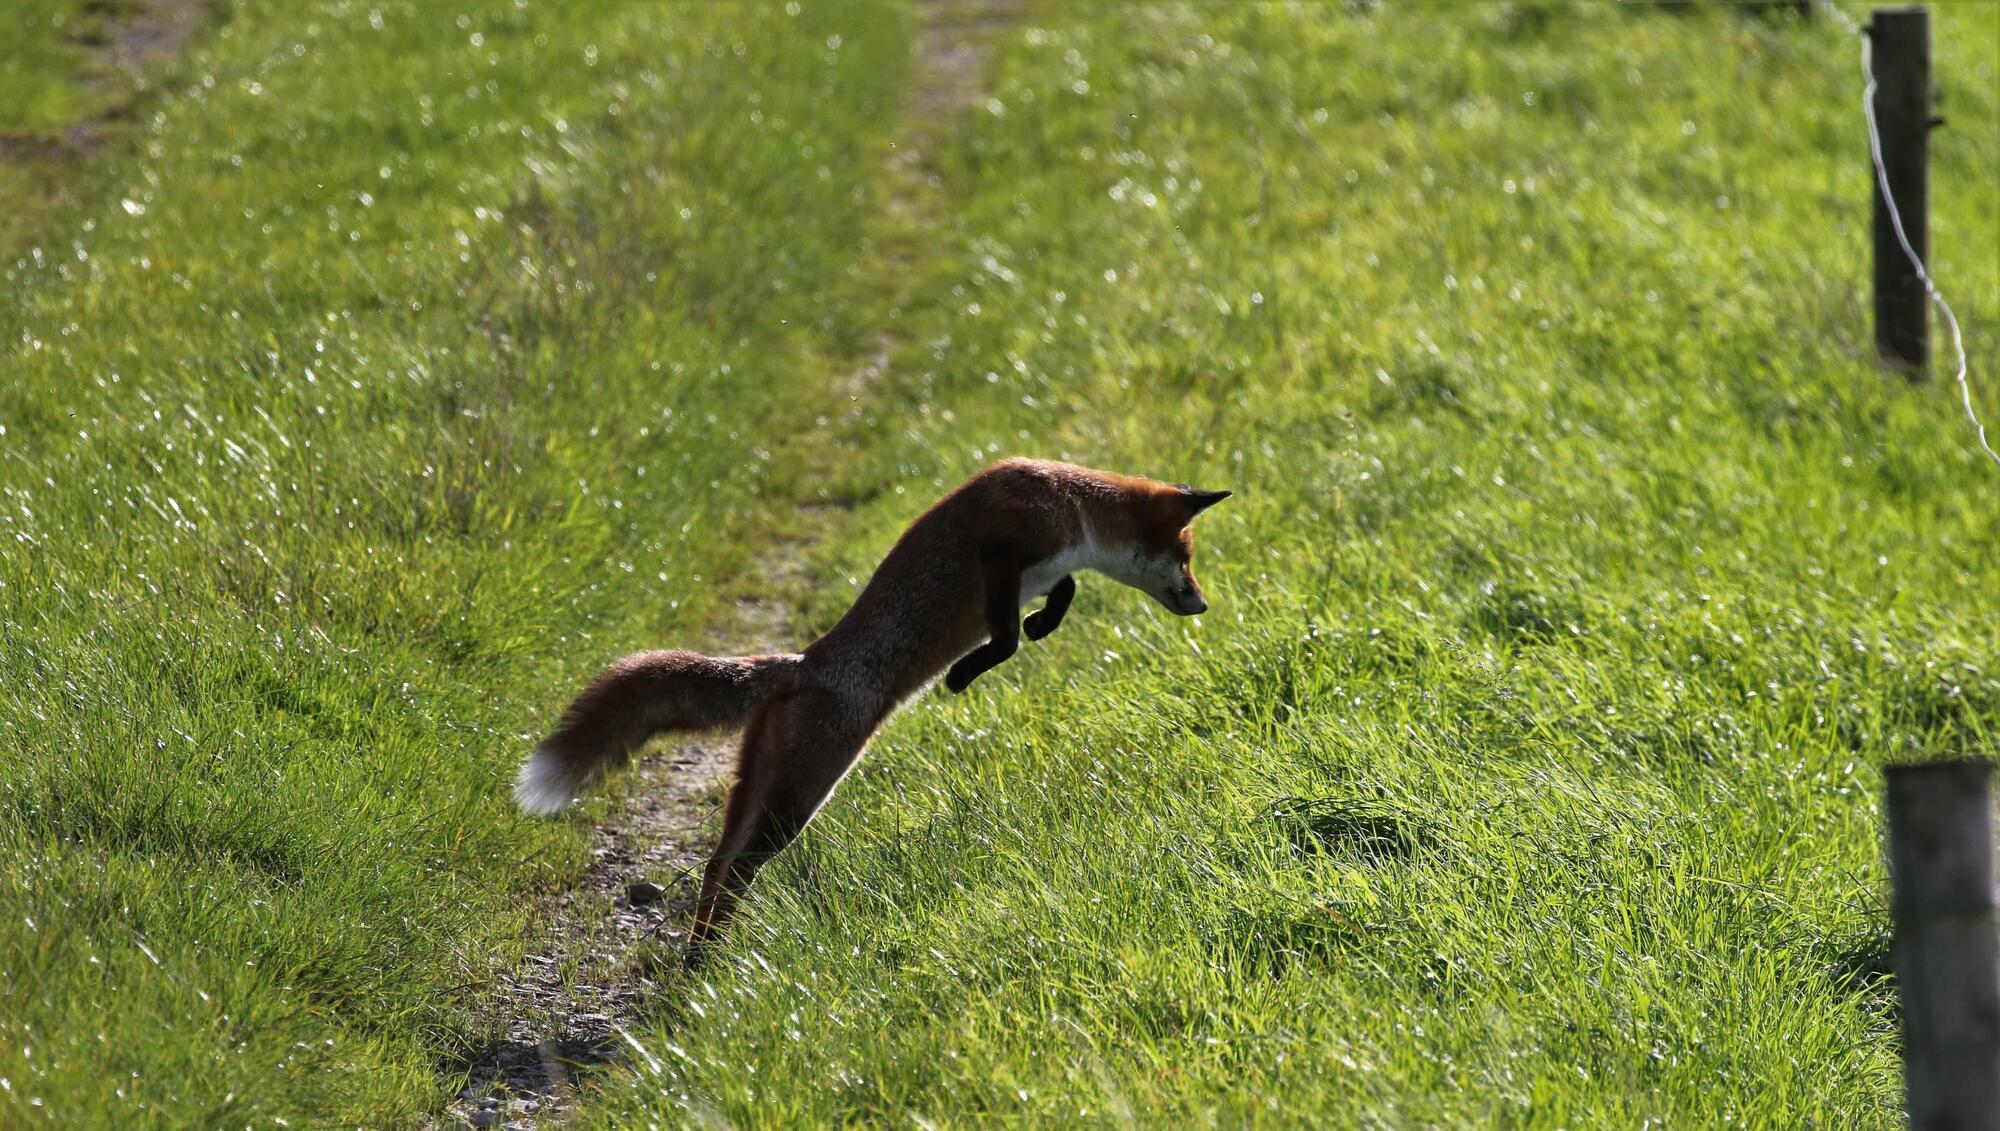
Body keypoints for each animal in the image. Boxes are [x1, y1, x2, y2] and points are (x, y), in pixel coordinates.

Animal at [514, 457, 1230, 958]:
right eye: (1186, 557)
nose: (1202, 605)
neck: (1075, 503)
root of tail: (799, 666)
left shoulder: (1041, 565)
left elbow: (1063, 591)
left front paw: (1042, 624)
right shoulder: (1003, 548)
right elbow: (1003, 636)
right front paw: (966, 672)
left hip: (762, 789)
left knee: (718, 867)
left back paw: (702, 962)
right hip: (797, 801)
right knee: (736, 867)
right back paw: (705, 961)